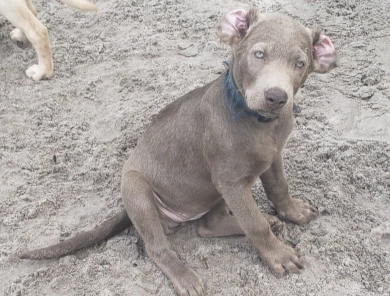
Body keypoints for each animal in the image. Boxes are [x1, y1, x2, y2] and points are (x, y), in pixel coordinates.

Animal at [19, 8, 338, 296]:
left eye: (300, 63)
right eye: (259, 55)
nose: (276, 97)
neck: (259, 122)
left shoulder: (272, 159)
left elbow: (279, 188)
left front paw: (291, 212)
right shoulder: (232, 183)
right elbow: (254, 223)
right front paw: (278, 255)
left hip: (210, 192)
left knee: (207, 226)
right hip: (138, 190)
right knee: (157, 248)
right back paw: (185, 277)